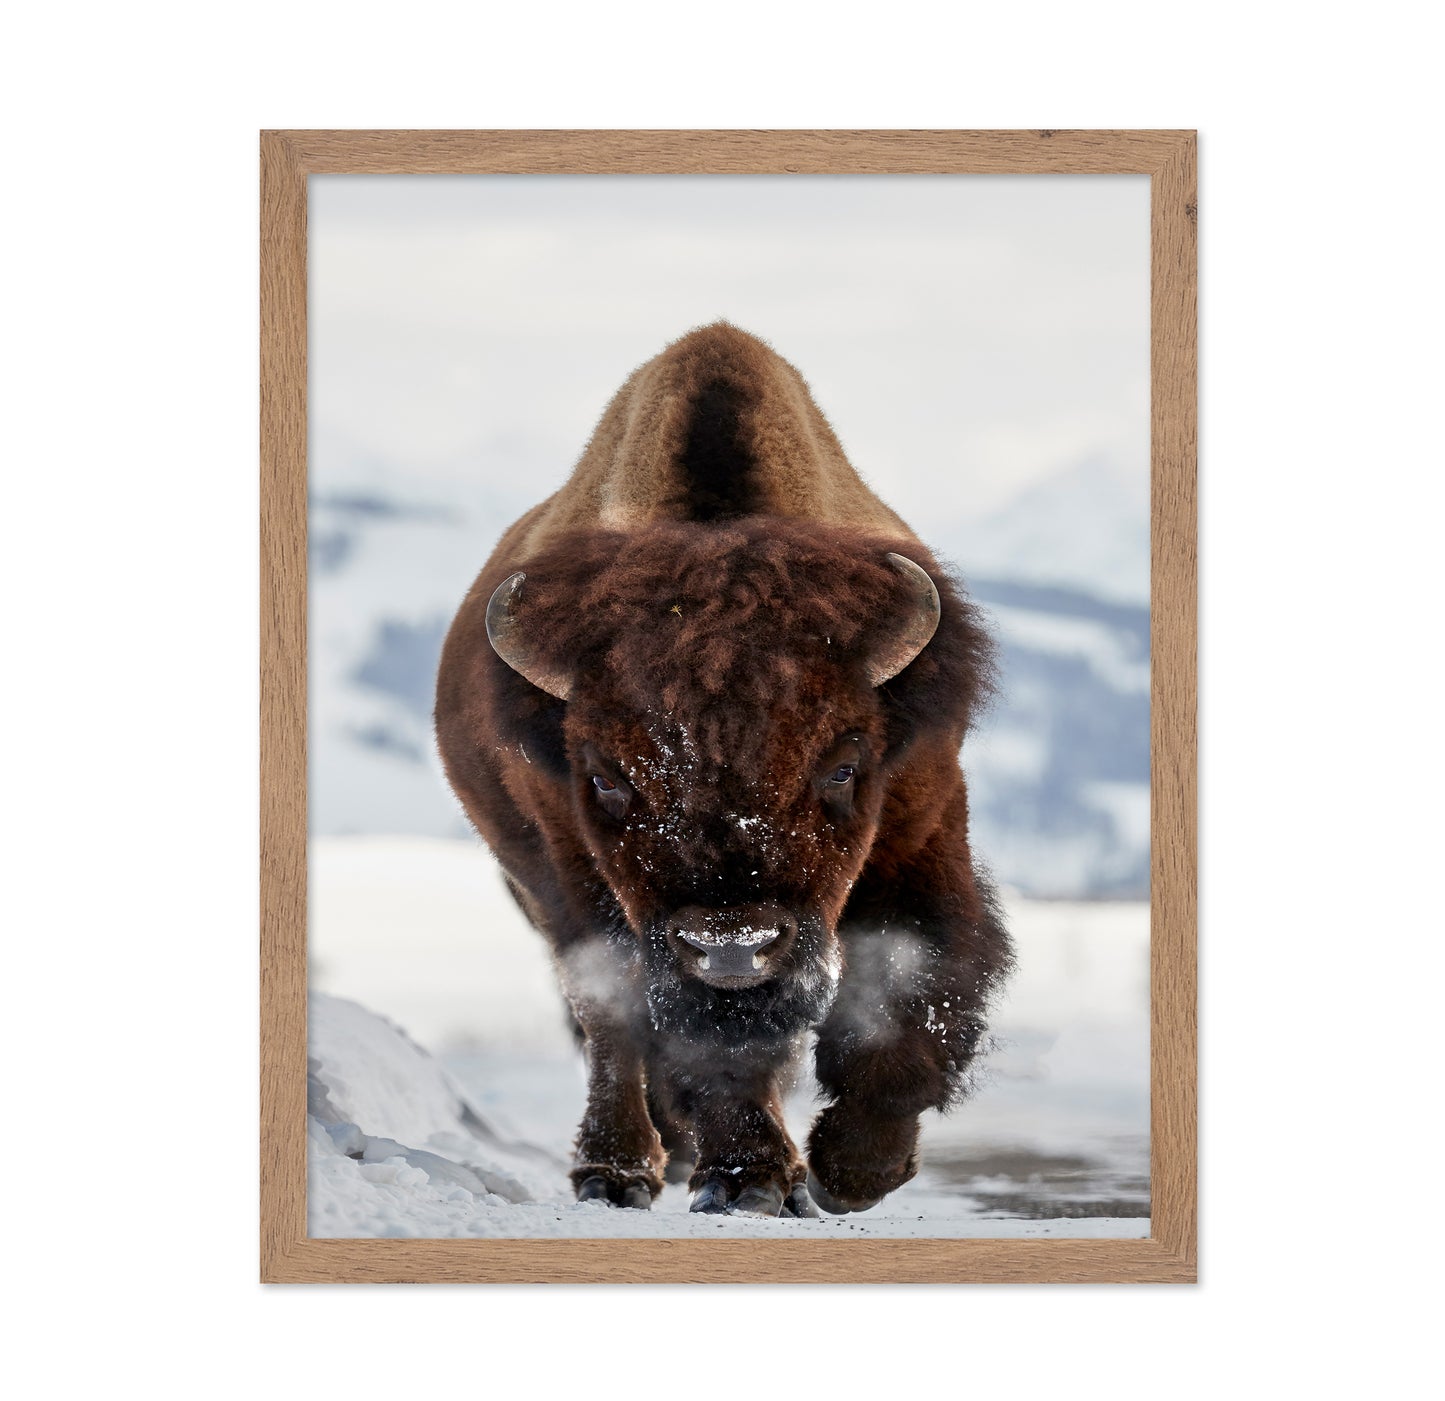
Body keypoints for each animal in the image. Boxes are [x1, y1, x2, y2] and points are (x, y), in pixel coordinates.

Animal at [435, 323, 1012, 1217]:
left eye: (844, 765)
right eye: (605, 777)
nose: (733, 947)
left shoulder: (921, 825)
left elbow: (913, 979)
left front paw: (853, 1170)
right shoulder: (581, 874)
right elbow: (682, 1035)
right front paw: (748, 1178)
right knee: (610, 1023)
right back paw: (619, 1170)